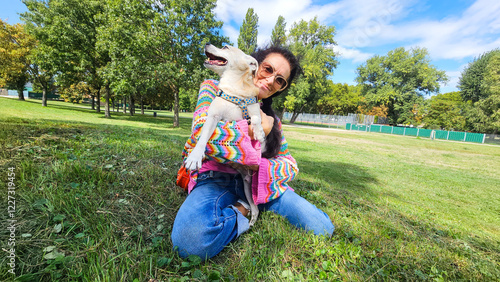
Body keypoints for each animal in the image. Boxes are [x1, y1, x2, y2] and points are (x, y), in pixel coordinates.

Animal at [185, 44, 266, 227]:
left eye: (225, 47)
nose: (206, 43)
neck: (234, 89)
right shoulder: (213, 117)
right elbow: (203, 138)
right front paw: (195, 157)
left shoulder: (255, 107)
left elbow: (256, 118)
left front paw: (259, 132)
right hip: (246, 187)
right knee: (254, 207)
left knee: (256, 208)